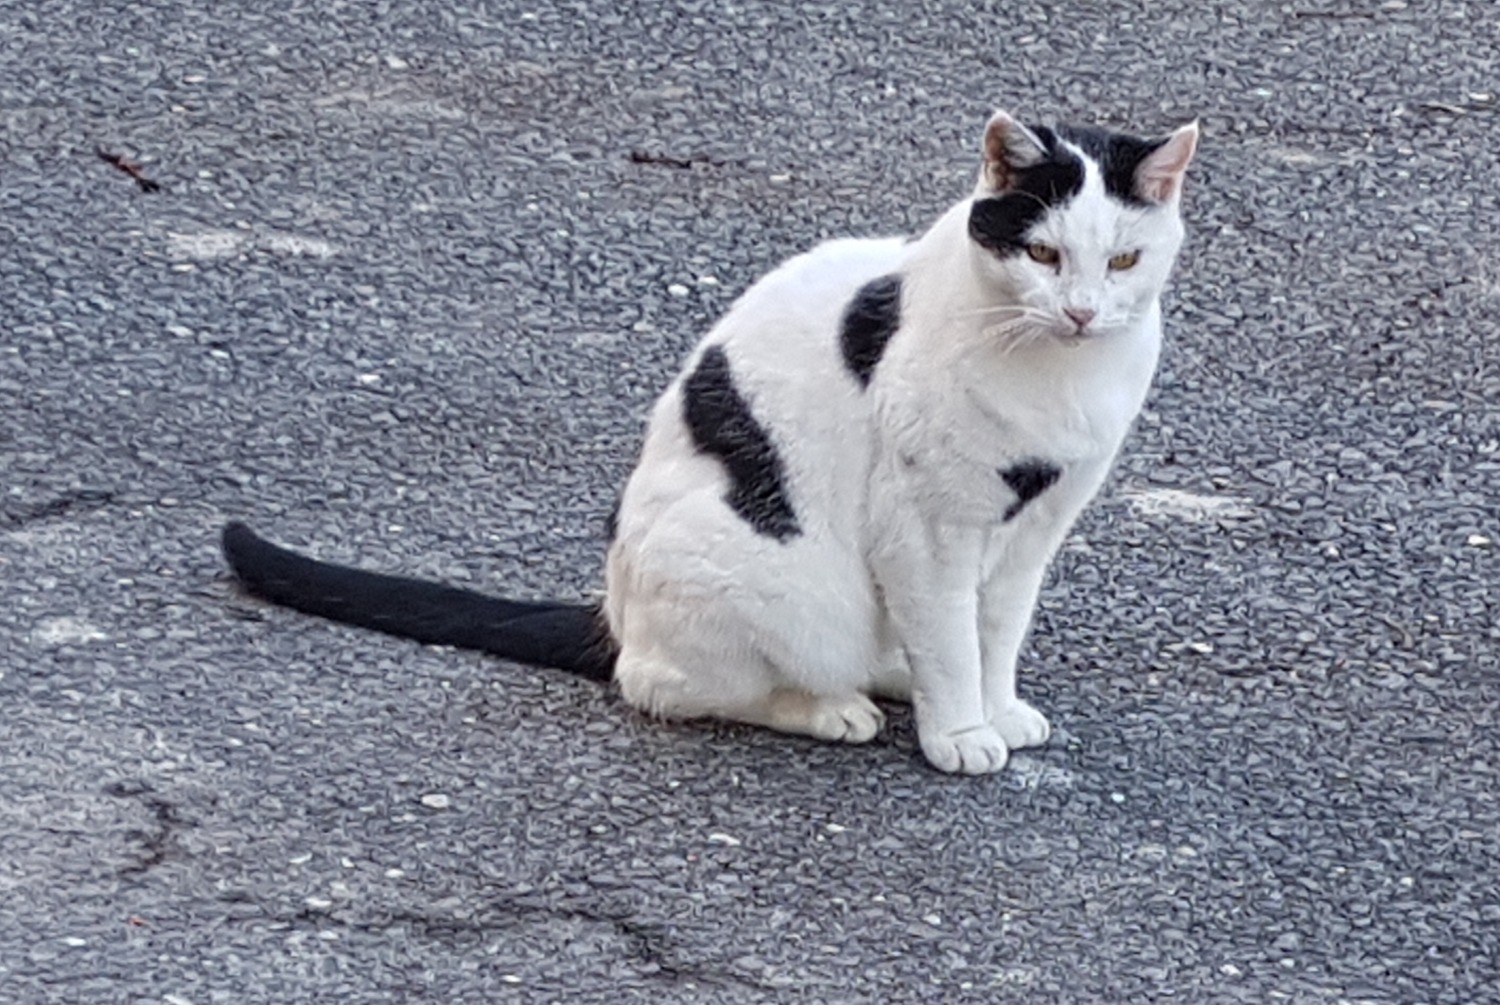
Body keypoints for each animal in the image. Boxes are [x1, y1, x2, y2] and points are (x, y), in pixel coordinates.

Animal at [222, 110, 1200, 774]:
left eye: (1122, 261)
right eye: (1041, 254)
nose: (1081, 312)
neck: (1058, 380)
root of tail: (612, 610)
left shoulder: (1036, 527)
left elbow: (995, 630)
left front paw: (995, 708)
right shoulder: (925, 526)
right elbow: (956, 639)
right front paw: (962, 731)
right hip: (764, 576)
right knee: (666, 684)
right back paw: (832, 706)